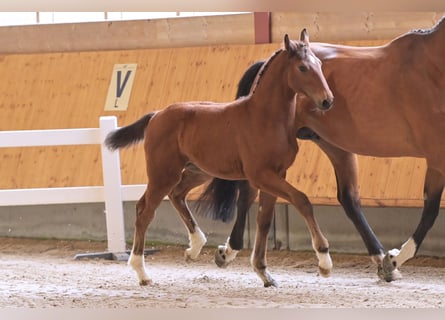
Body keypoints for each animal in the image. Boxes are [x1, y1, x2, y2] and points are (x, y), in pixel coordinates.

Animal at [104, 29, 332, 284]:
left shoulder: (277, 174)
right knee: (145, 211)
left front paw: (263, 272)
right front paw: (324, 261)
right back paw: (142, 272)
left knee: (177, 195)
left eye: (319, 64)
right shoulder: (261, 175)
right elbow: (302, 200)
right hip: (163, 174)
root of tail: (156, 115)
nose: (327, 100)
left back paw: (194, 247)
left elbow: (264, 220)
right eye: (302, 67)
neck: (264, 118)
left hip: (197, 171)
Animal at [200, 16, 444, 282]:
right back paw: (230, 251)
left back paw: (378, 258)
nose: (327, 99)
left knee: (348, 199)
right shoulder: (437, 156)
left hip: (334, 145)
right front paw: (395, 258)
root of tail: (267, 60)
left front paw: (392, 260)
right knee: (248, 193)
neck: (433, 66)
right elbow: (431, 211)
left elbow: (430, 208)